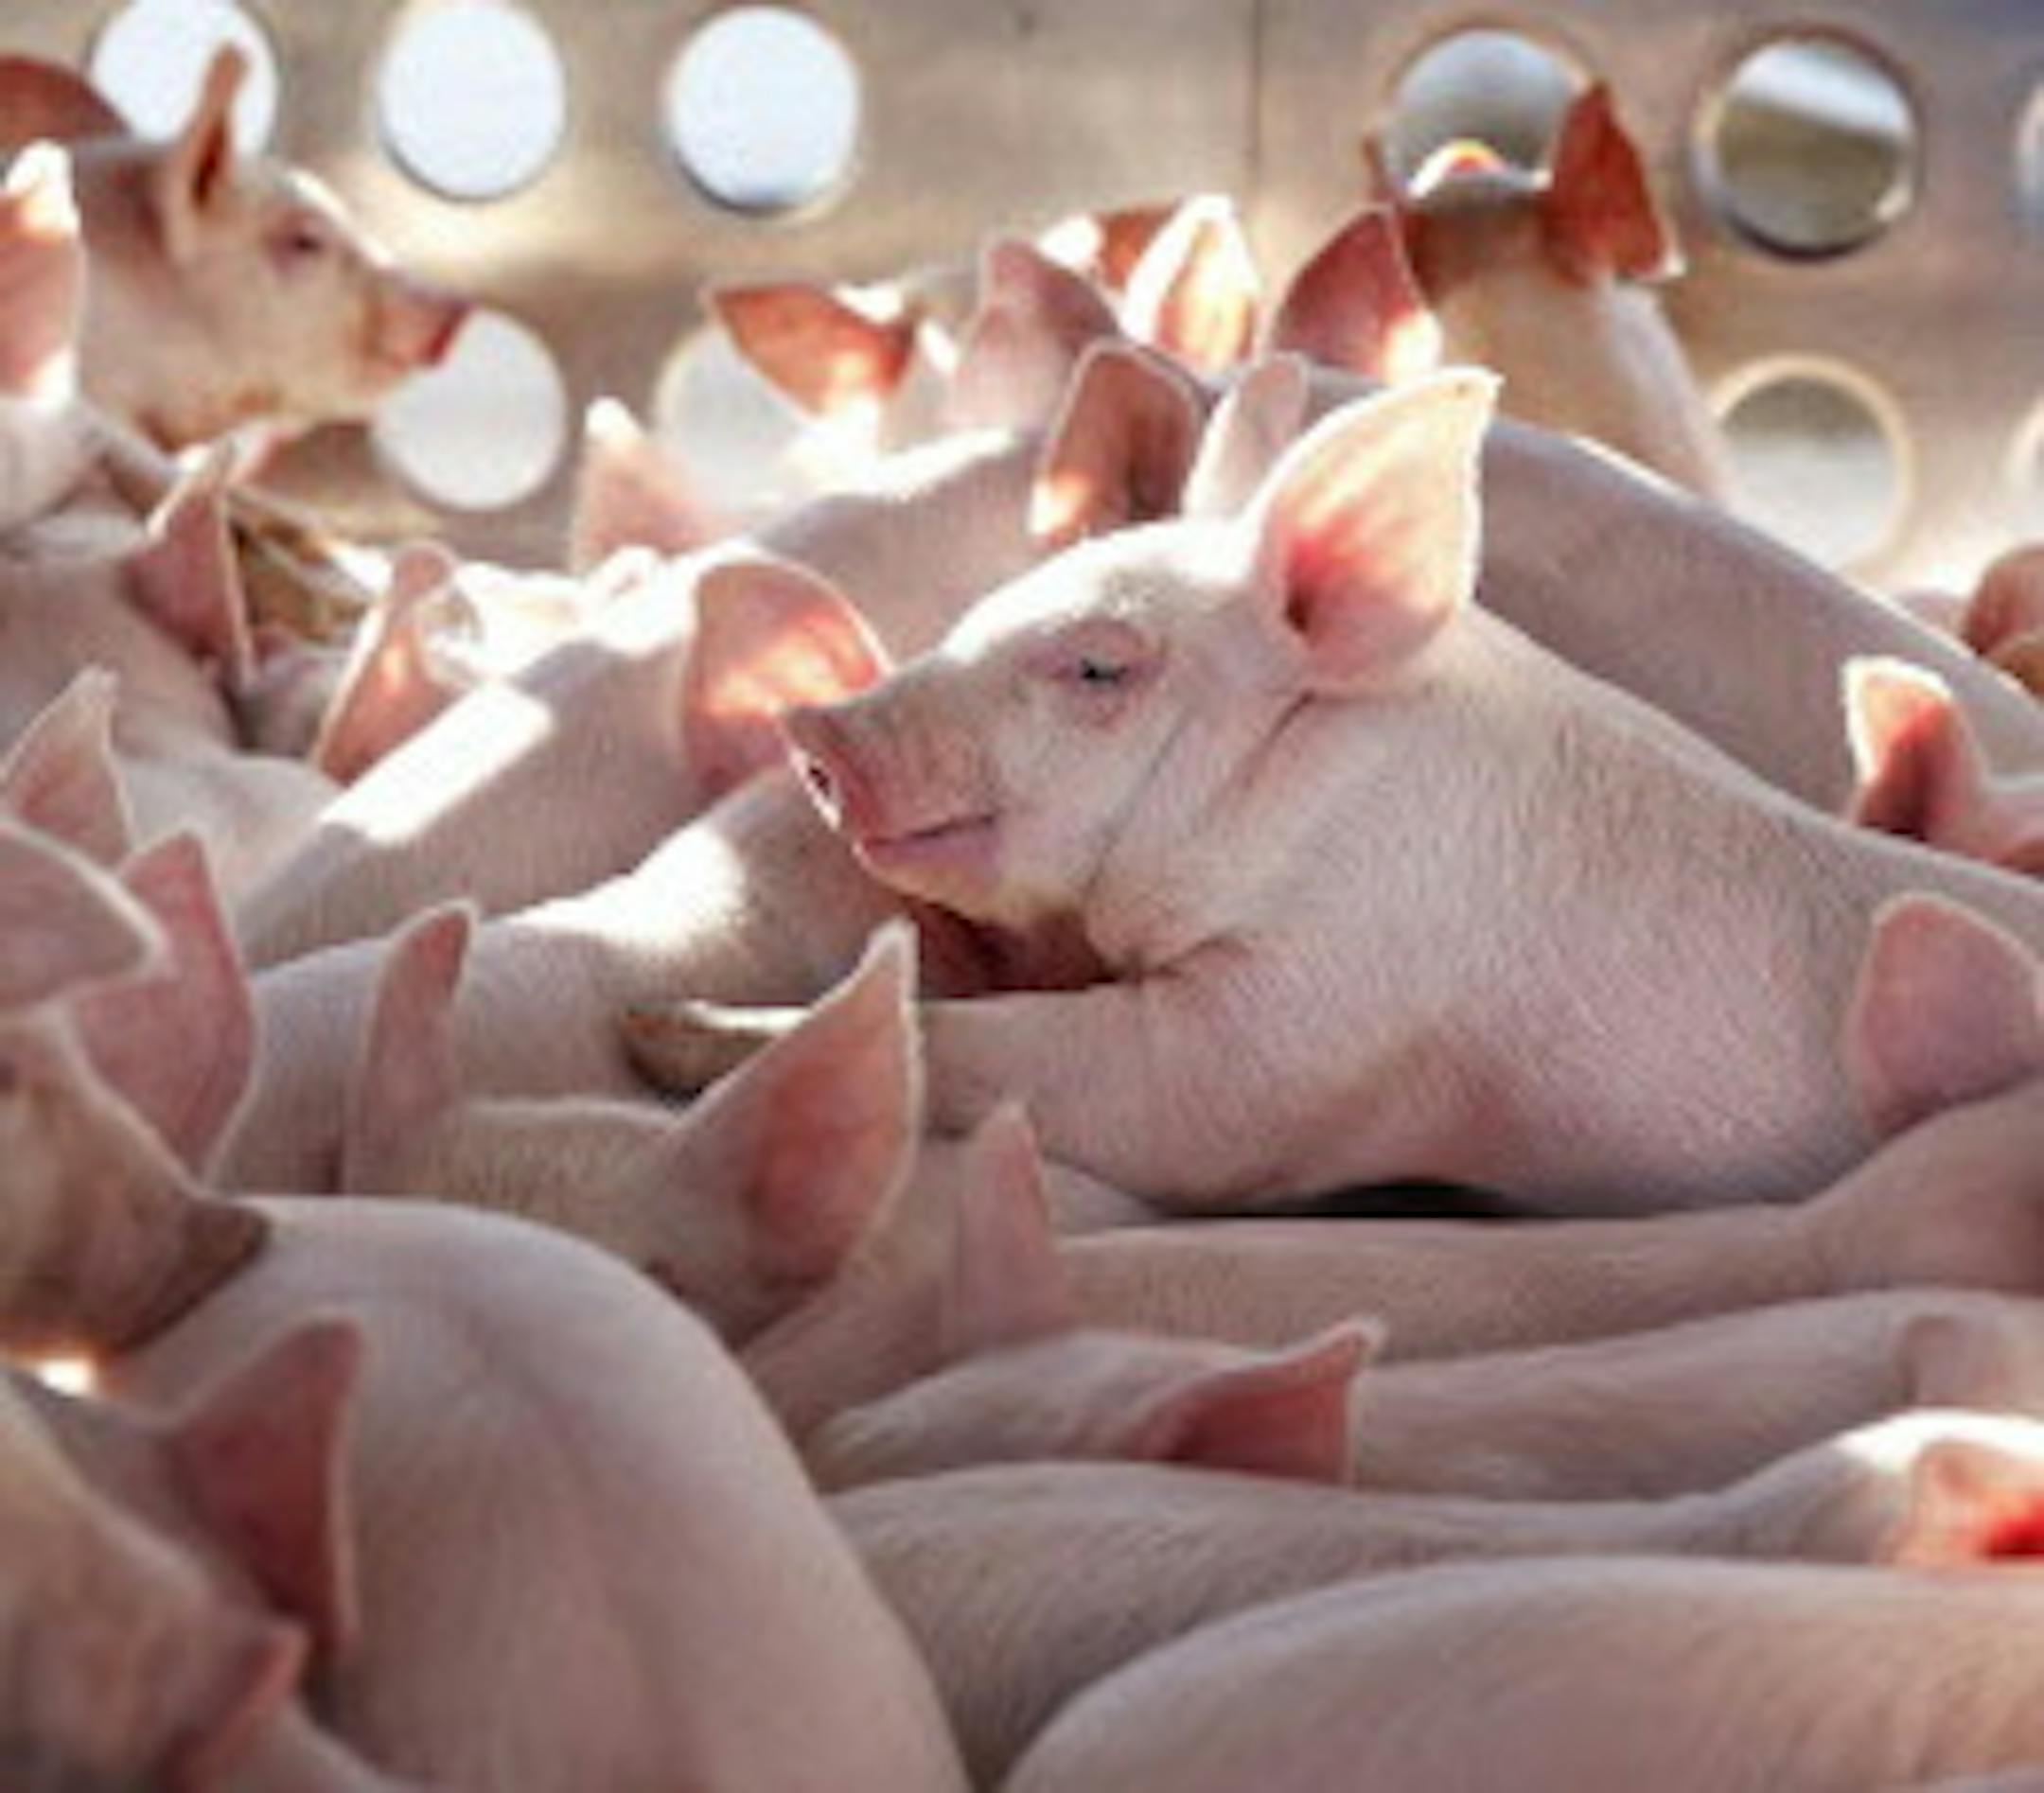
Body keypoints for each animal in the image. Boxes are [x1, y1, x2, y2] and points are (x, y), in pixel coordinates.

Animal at [639, 371, 2044, 1213]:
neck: (1304, 785)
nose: (814, 725)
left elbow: (1100, 1081)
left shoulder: (1314, 1021)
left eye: (1098, 665)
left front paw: (667, 1031)